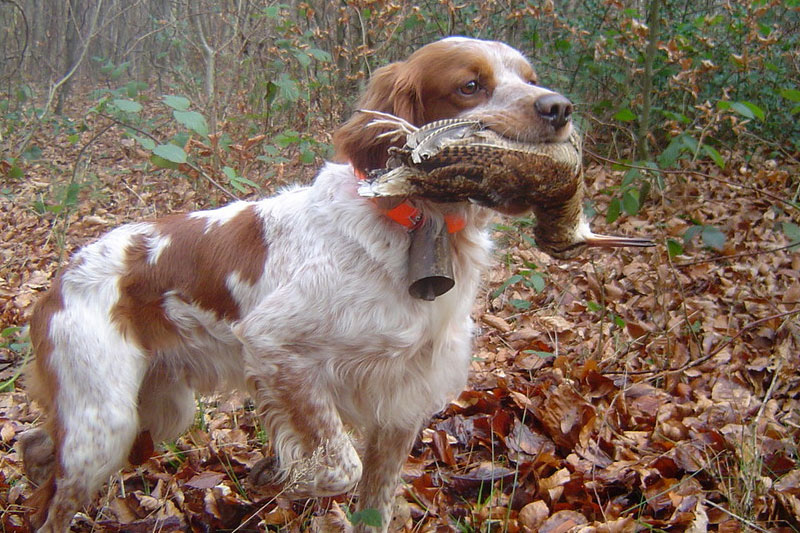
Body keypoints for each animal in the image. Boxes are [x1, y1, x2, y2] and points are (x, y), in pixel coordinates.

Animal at [21, 36, 572, 528]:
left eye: (530, 79)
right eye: (470, 86)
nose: (559, 107)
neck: (416, 226)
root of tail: (61, 276)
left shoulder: (402, 403)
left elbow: (374, 503)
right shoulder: (277, 347)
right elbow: (339, 465)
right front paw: (284, 477)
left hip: (154, 410)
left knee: (39, 444)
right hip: (107, 423)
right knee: (53, 502)